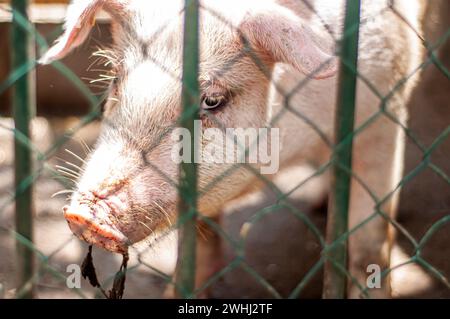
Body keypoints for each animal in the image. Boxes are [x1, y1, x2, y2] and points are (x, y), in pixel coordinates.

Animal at [40, 0, 424, 300]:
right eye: (117, 79)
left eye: (212, 101)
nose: (83, 215)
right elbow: (201, 246)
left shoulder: (384, 109)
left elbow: (368, 245)